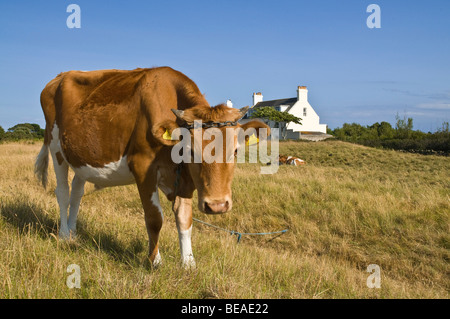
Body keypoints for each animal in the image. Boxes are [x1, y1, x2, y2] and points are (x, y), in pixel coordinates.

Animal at [35, 67, 268, 270]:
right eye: (191, 151)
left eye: (236, 151)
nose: (217, 206)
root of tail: (60, 76)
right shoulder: (143, 167)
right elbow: (155, 219)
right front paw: (155, 261)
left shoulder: (185, 179)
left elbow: (185, 219)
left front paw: (188, 263)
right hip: (56, 147)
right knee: (63, 192)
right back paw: (63, 234)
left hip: (81, 158)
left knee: (76, 193)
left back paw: (73, 233)